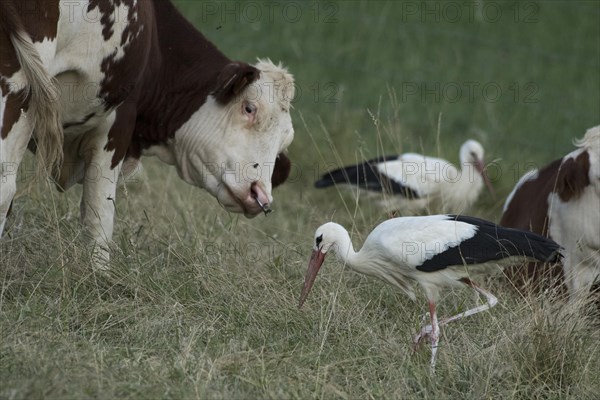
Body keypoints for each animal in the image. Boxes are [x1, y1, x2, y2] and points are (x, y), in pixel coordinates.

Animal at [0, 0, 296, 268]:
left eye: (284, 141)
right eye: (249, 108)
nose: (261, 195)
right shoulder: (118, 123)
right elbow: (100, 214)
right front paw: (99, 276)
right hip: (17, 88)